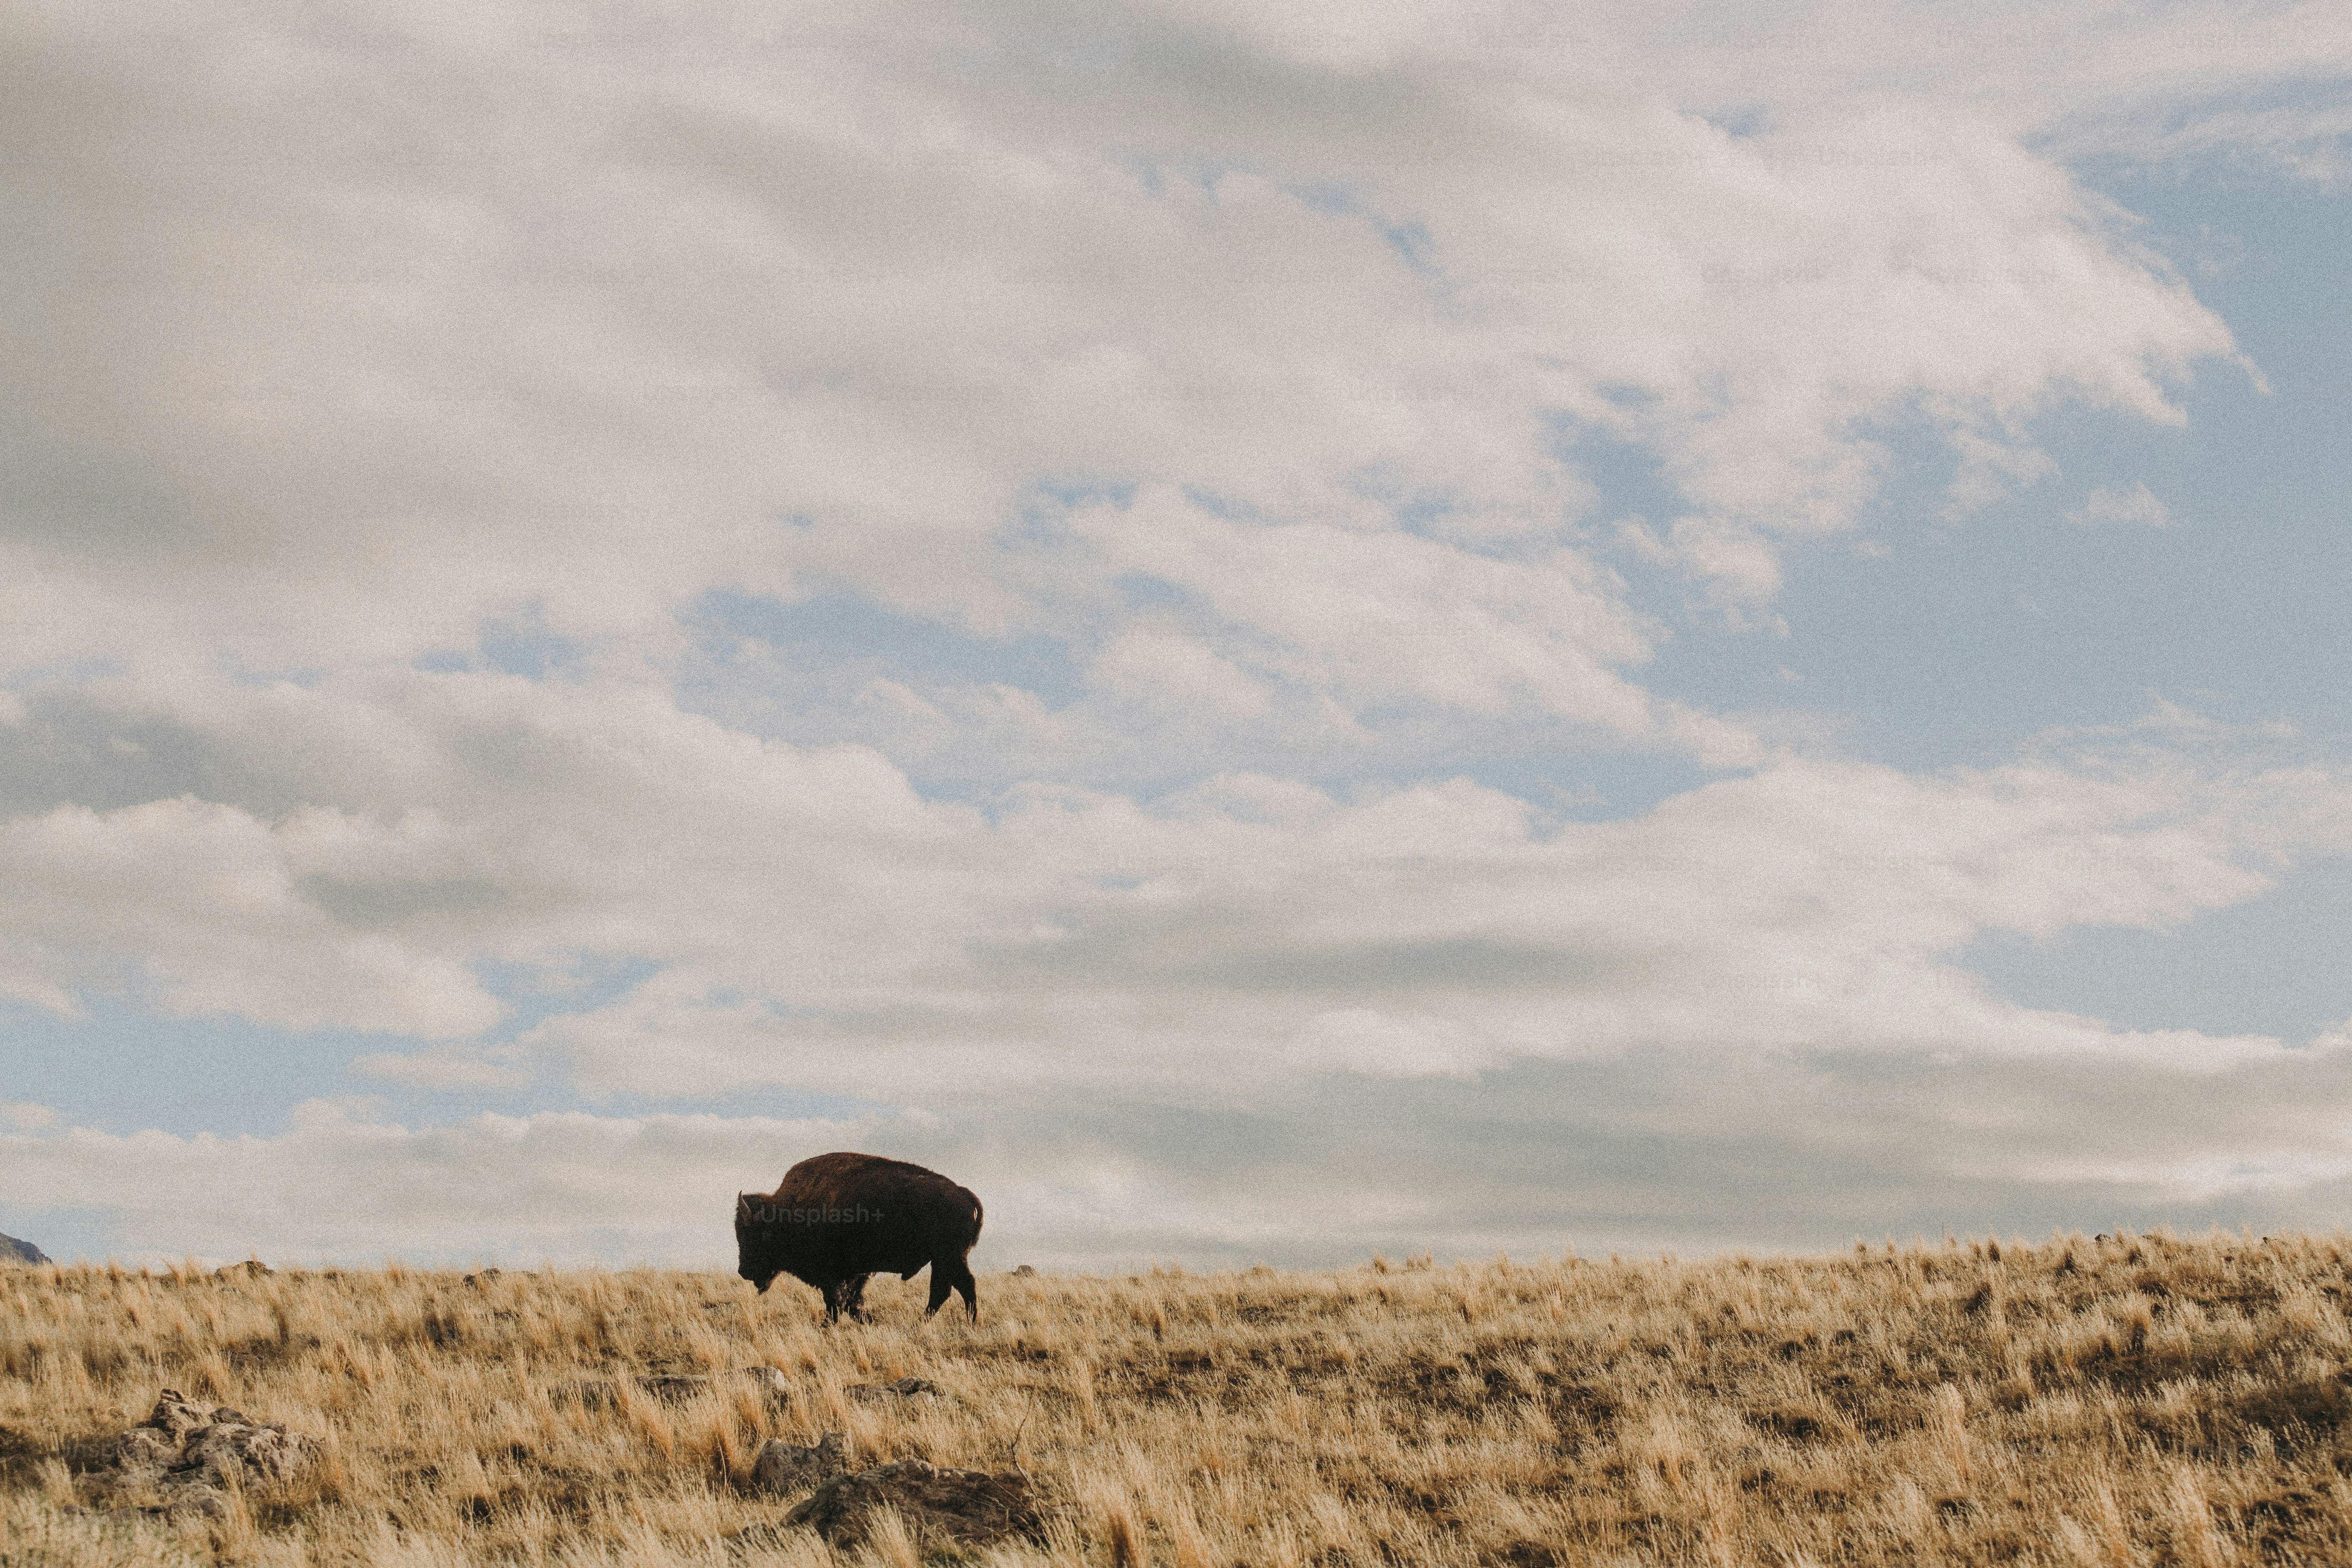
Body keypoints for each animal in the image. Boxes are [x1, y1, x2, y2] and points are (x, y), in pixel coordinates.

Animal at [735, 1152, 983, 1322]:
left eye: (753, 1236)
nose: (743, 1271)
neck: (787, 1212)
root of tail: (963, 1192)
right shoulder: (856, 1272)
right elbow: (849, 1300)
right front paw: (867, 1319)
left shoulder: (833, 1274)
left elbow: (837, 1301)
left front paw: (833, 1324)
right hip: (942, 1261)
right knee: (944, 1291)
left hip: (949, 1258)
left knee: (962, 1286)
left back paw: (968, 1324)